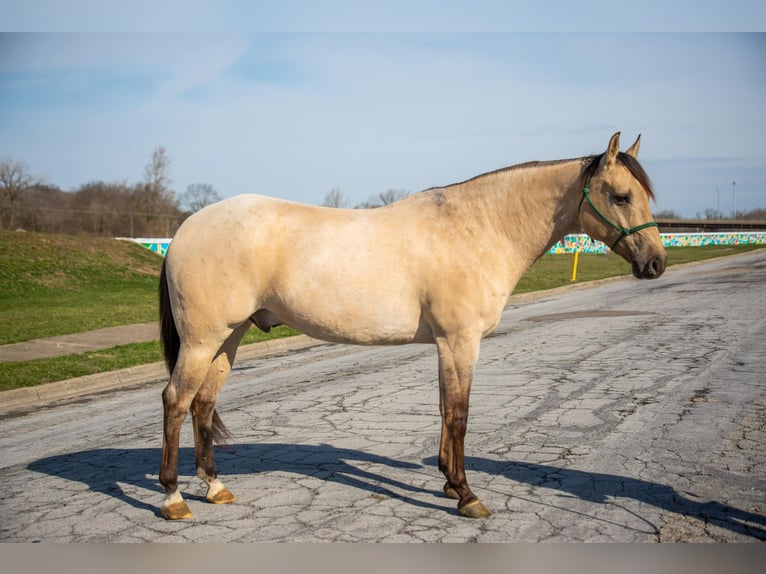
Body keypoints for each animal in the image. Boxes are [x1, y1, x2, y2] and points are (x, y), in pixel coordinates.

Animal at [156, 132, 664, 520]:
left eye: (644, 195)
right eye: (620, 196)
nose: (656, 263)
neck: (476, 228)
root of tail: (187, 228)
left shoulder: (445, 344)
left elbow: (443, 411)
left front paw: (449, 484)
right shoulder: (460, 342)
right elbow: (459, 415)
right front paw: (467, 495)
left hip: (229, 338)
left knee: (203, 404)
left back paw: (215, 487)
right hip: (203, 339)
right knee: (176, 402)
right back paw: (175, 497)